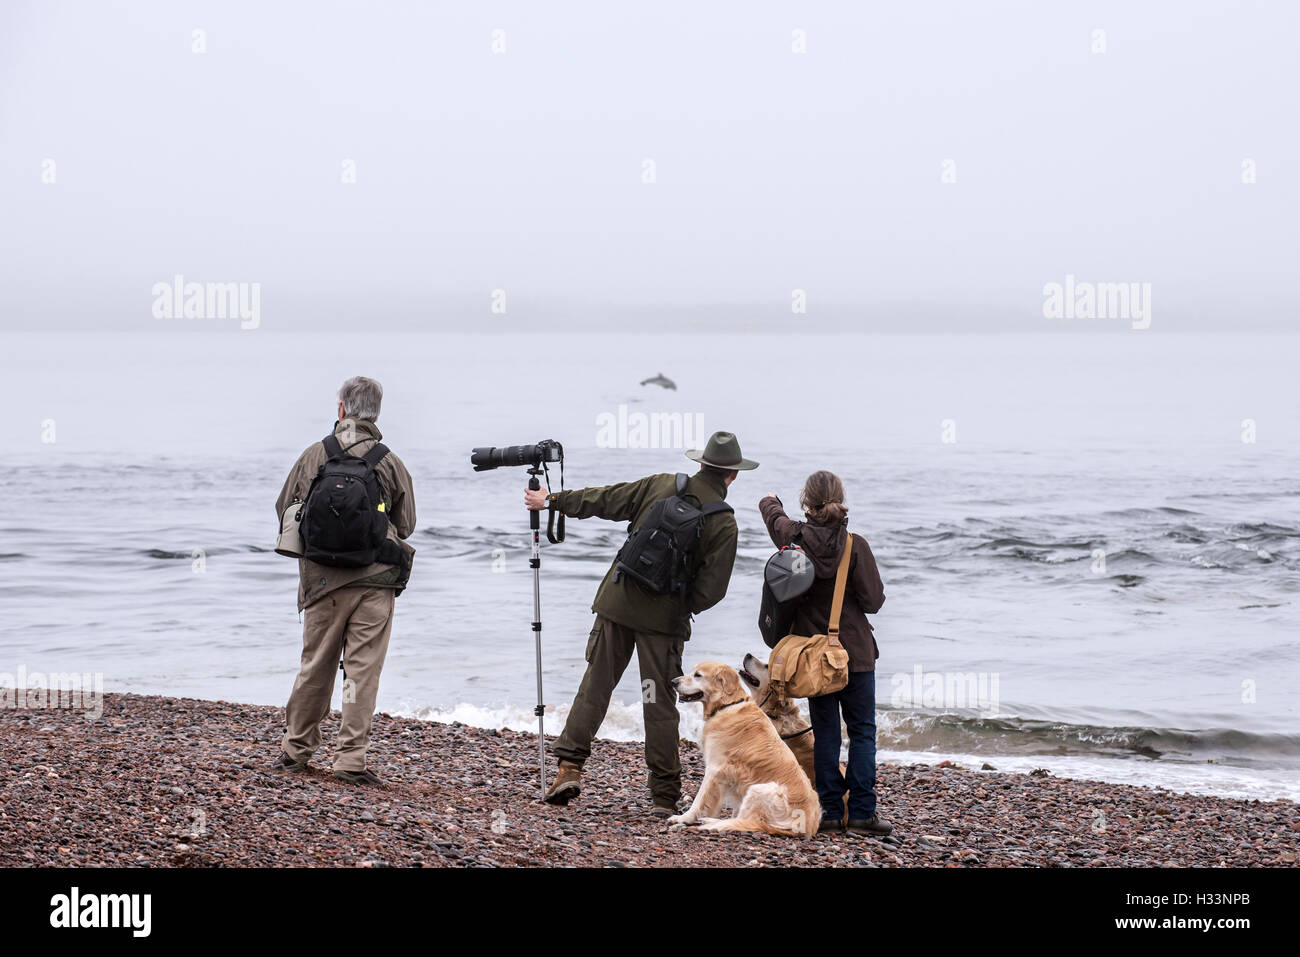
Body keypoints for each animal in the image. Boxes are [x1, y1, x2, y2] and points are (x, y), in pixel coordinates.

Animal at [665, 660, 816, 832]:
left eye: (698, 675)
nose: (673, 682)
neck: (726, 705)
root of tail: (808, 825)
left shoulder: (714, 768)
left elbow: (700, 799)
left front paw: (684, 818)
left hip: (759, 789)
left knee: (745, 819)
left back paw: (712, 823)